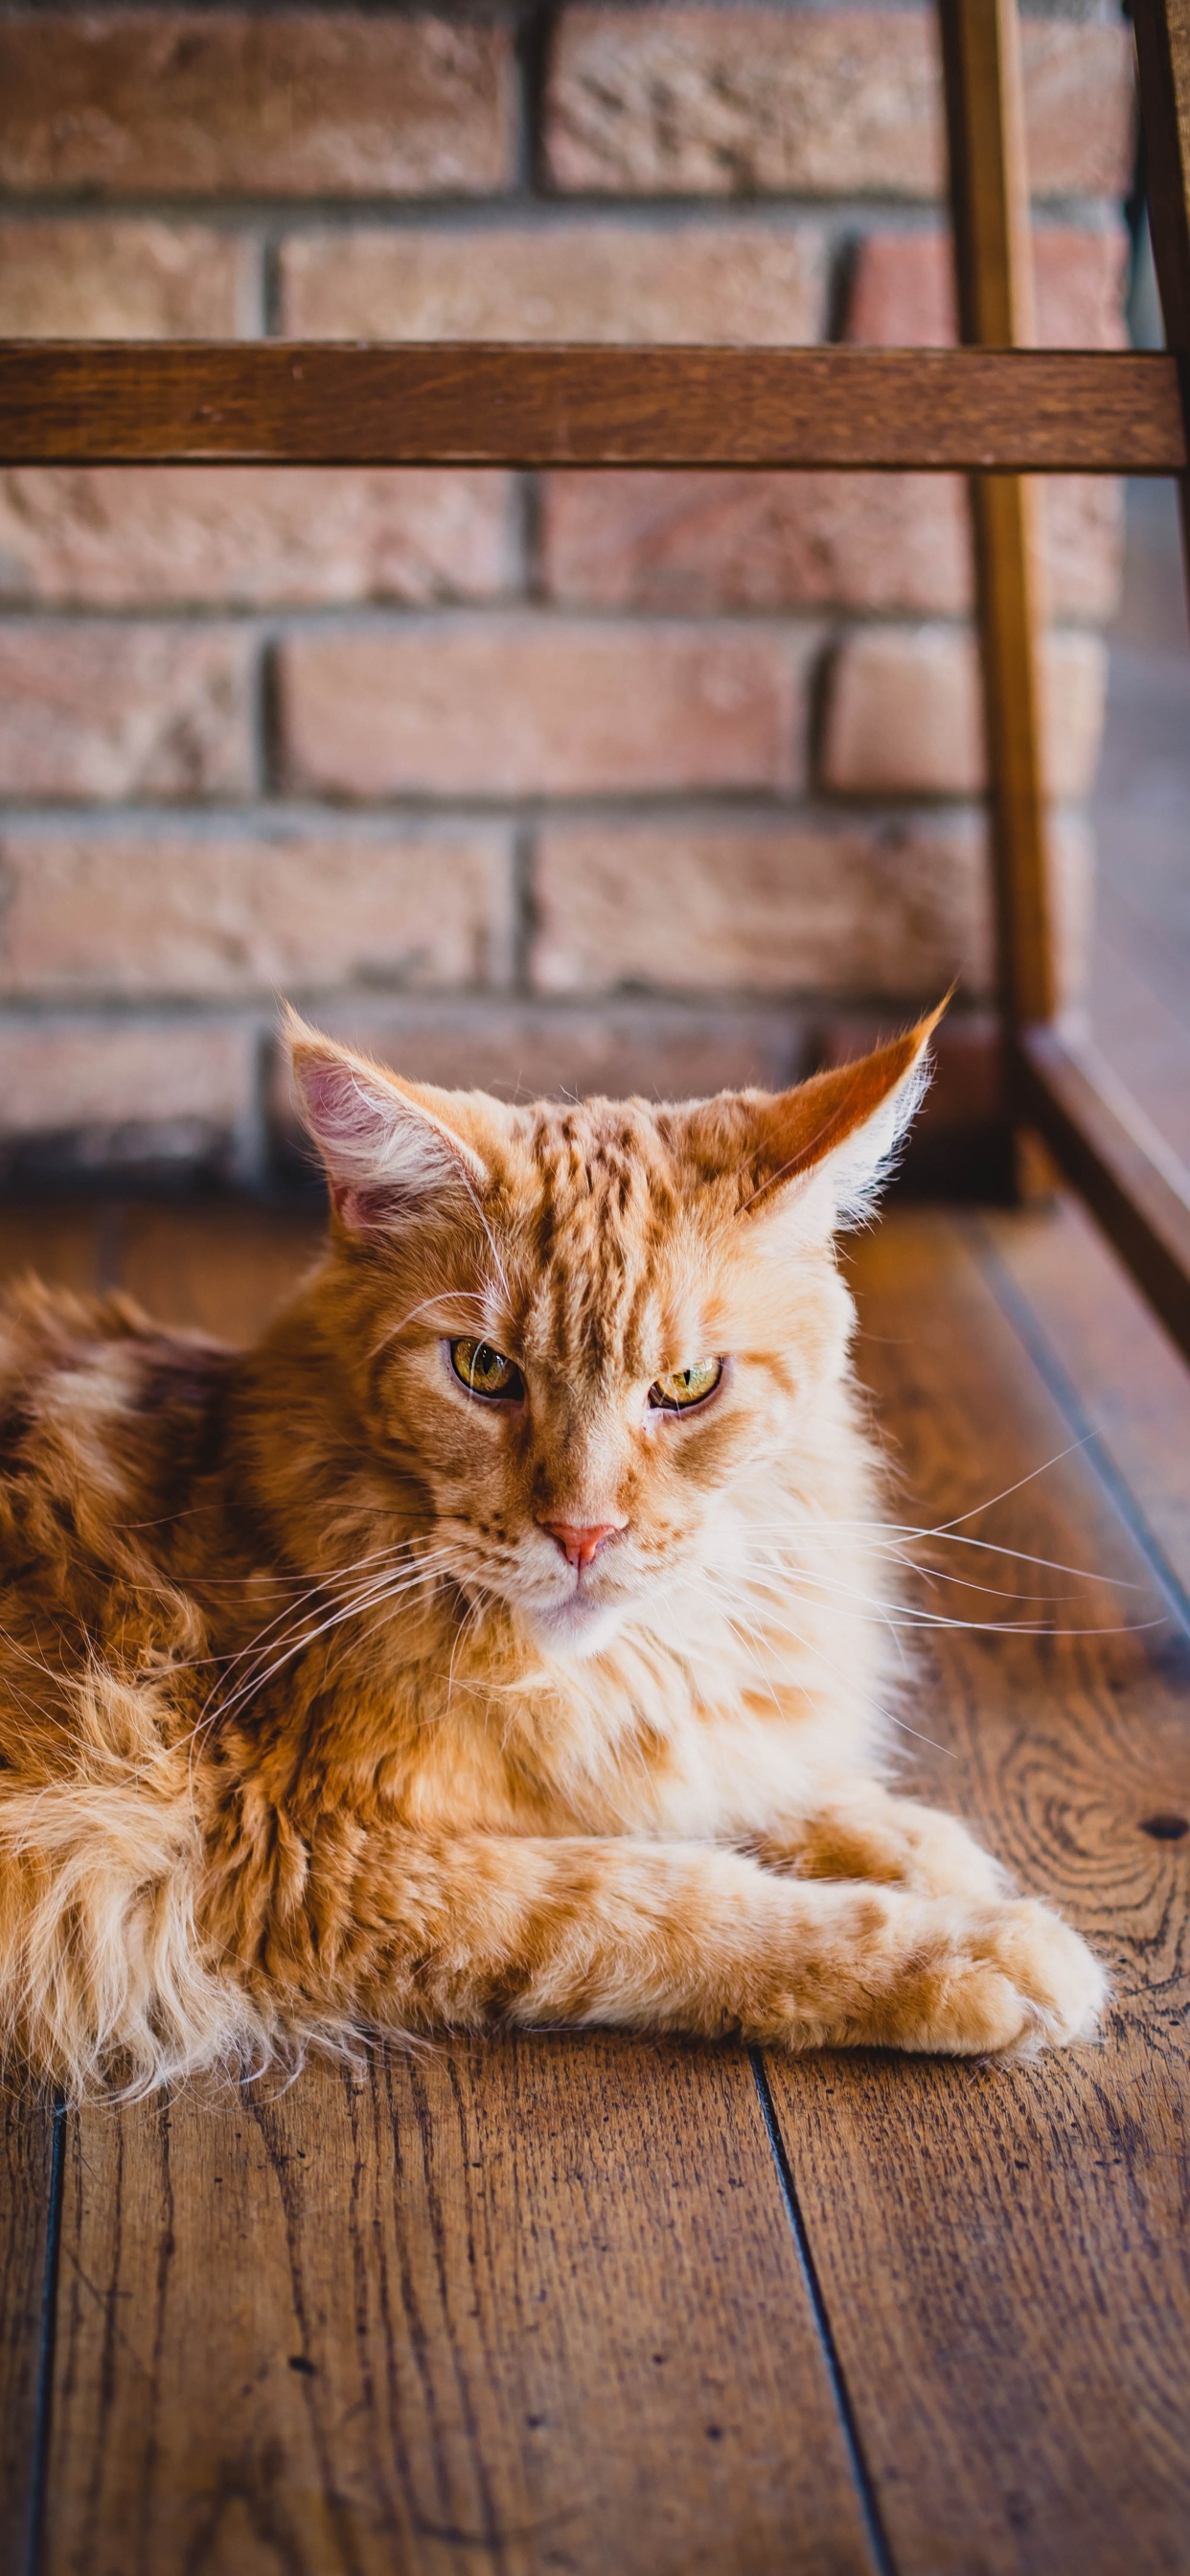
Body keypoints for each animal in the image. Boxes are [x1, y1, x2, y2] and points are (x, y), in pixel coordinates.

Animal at [0, 1004, 1107, 2091]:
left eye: (689, 1383)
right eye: (484, 1369)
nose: (583, 1532)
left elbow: (733, 1787)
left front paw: (903, 1838)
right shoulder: (298, 1854)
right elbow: (654, 1894)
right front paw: (962, 1948)